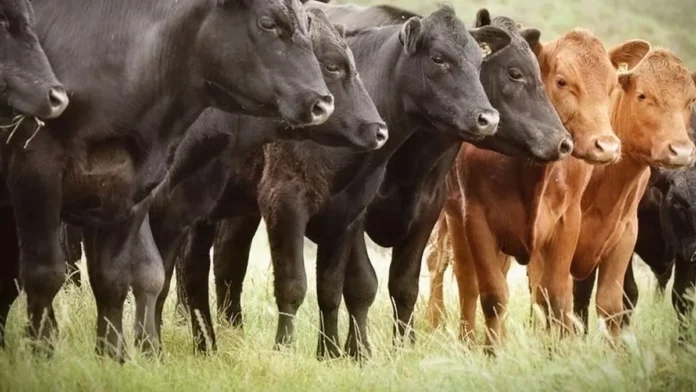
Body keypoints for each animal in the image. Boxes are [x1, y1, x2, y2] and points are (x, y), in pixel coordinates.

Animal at [0, 0, 334, 358]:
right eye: (267, 22)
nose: (323, 102)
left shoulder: (132, 190)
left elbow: (111, 279)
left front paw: (113, 357)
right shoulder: (36, 173)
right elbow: (44, 273)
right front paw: (43, 352)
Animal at [424, 31, 648, 350]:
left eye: (611, 85)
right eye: (562, 81)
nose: (606, 146)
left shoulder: (567, 221)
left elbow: (555, 296)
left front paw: (561, 350)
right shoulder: (475, 219)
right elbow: (492, 295)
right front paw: (492, 352)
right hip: (453, 217)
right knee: (463, 279)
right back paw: (465, 339)